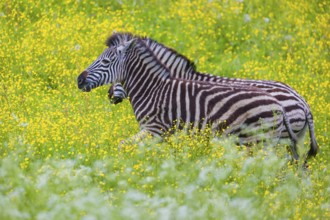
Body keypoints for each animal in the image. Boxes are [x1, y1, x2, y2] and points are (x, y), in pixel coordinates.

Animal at [76, 34, 300, 158]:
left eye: (105, 62)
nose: (79, 80)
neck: (154, 88)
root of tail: (299, 101)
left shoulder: (156, 130)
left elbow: (125, 145)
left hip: (264, 141)